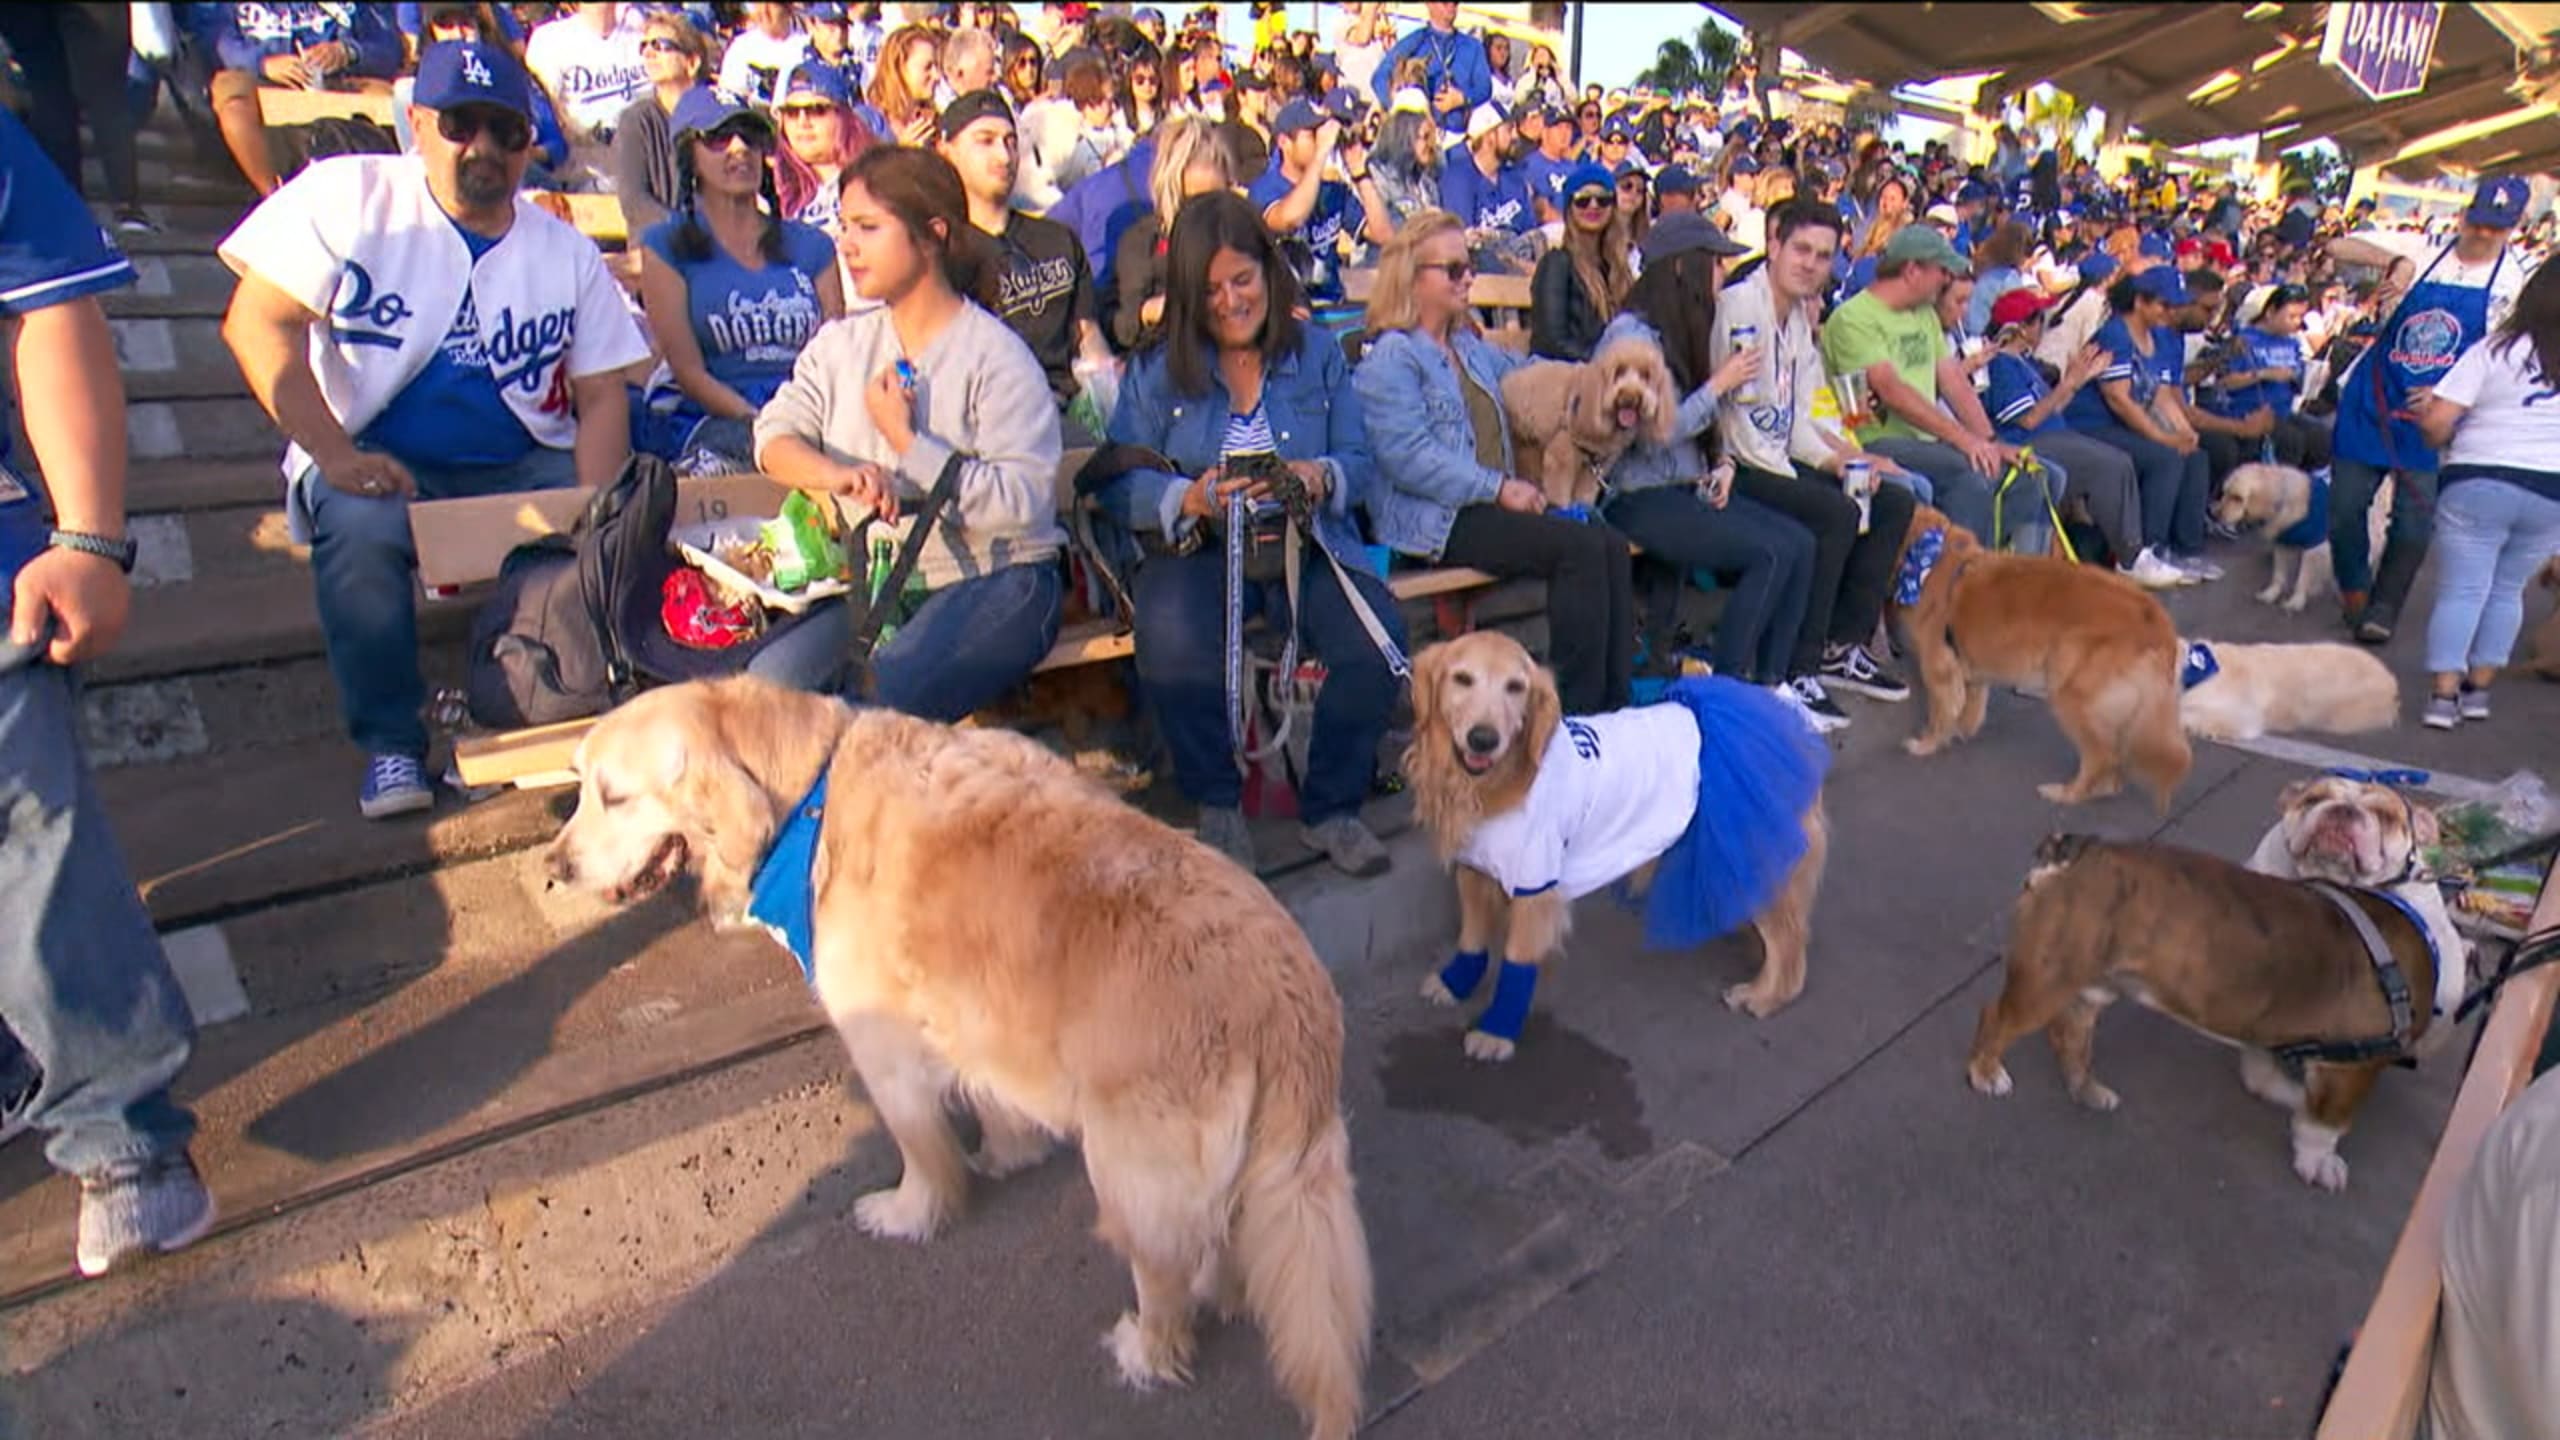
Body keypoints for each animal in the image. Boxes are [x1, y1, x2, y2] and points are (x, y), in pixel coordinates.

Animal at [547, 676, 1372, 1434]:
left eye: (614, 796)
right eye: (578, 786)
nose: (555, 868)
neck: (809, 799)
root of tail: (1288, 998)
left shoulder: (884, 1049)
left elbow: (922, 1149)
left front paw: (912, 1211)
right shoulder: (971, 1017)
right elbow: (989, 1094)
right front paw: (1008, 1152)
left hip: (1132, 1166)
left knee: (1165, 1269)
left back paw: (1147, 1345)